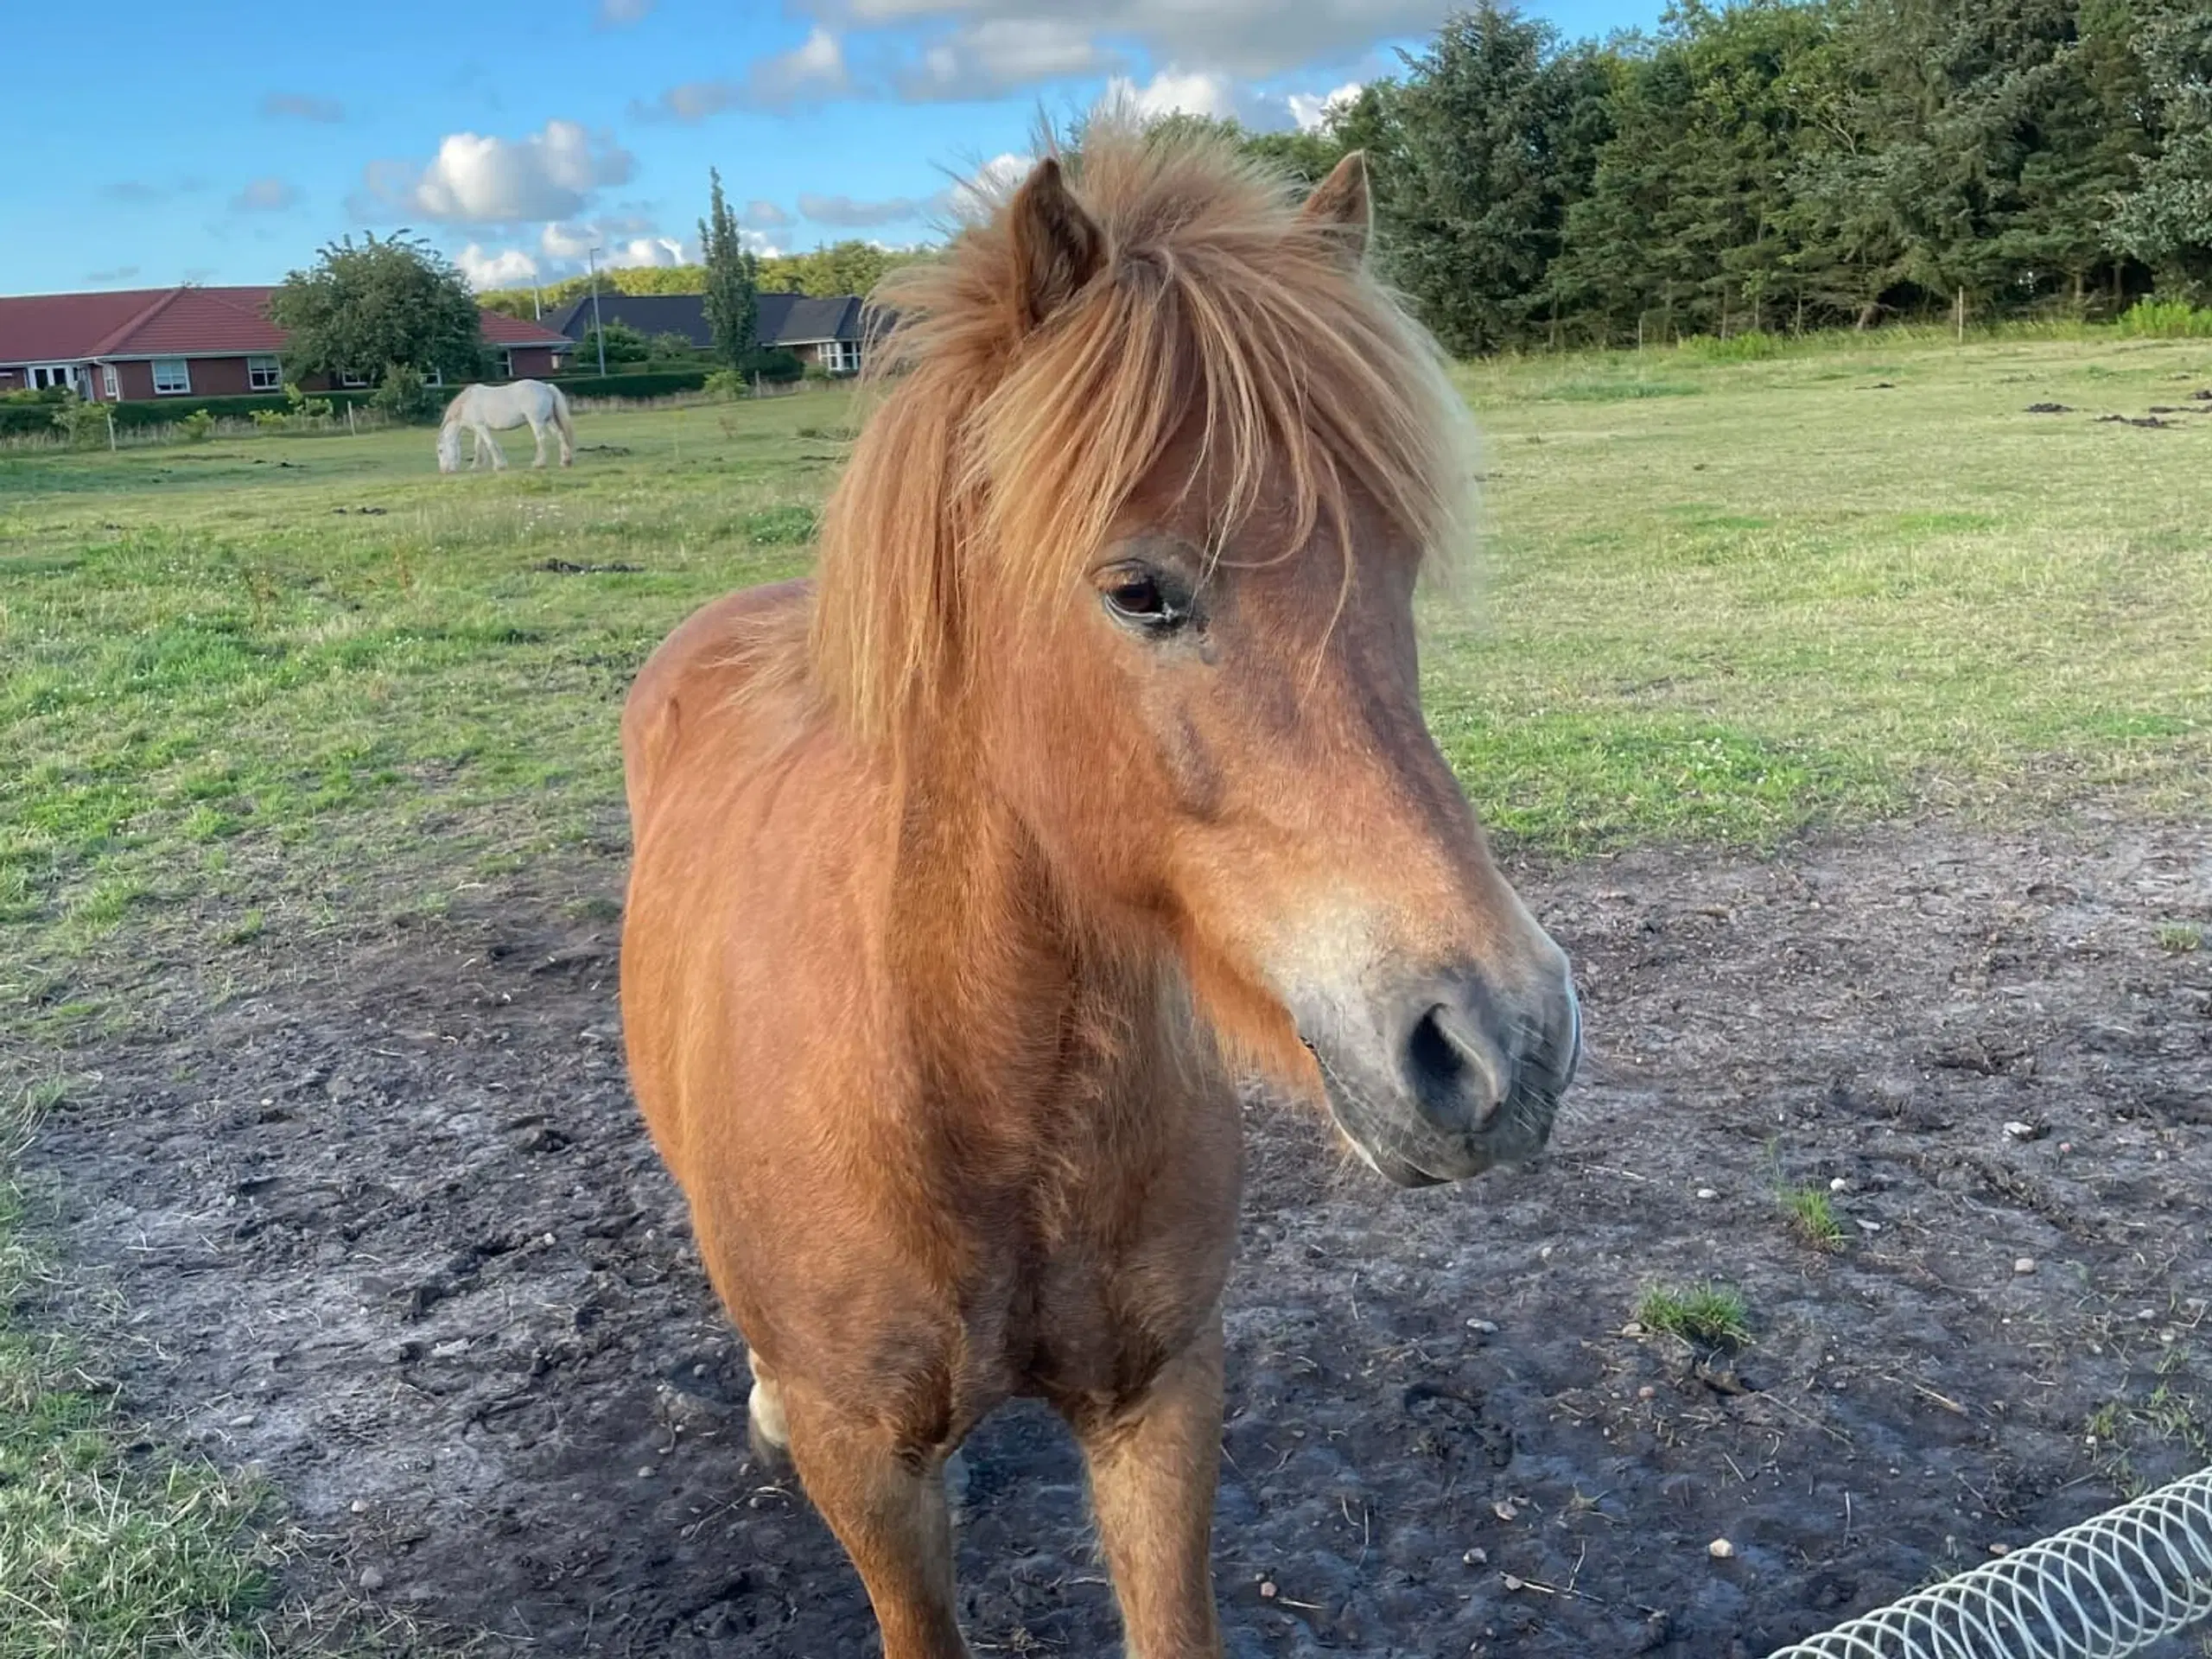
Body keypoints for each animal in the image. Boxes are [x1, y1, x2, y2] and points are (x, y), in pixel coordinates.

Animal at [435, 382, 575, 473]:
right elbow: (480, 446)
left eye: (440, 450)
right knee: (561, 436)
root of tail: (547, 387)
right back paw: (565, 461)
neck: (466, 404)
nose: (444, 471)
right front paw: (476, 466)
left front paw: (498, 466)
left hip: (536, 421)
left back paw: (539, 464)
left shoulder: (480, 427)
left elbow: (490, 444)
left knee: (541, 439)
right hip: (548, 420)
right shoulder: (479, 428)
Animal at [623, 130, 1583, 1659]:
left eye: (1399, 564)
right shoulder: (871, 1472)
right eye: (1138, 590)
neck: (981, 1097)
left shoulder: (1161, 1401)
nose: (1504, 1046)